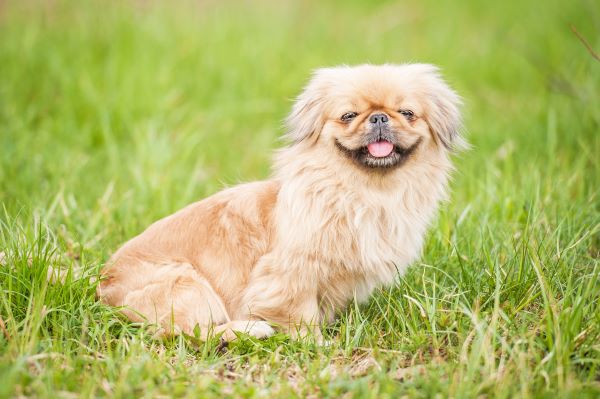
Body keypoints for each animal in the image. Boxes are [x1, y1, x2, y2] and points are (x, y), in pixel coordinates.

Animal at [98, 64, 464, 342]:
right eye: (349, 116)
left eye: (407, 113)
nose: (379, 118)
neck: (364, 193)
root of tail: (104, 289)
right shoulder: (289, 272)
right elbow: (300, 312)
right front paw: (315, 344)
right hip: (189, 284)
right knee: (188, 334)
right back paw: (248, 330)